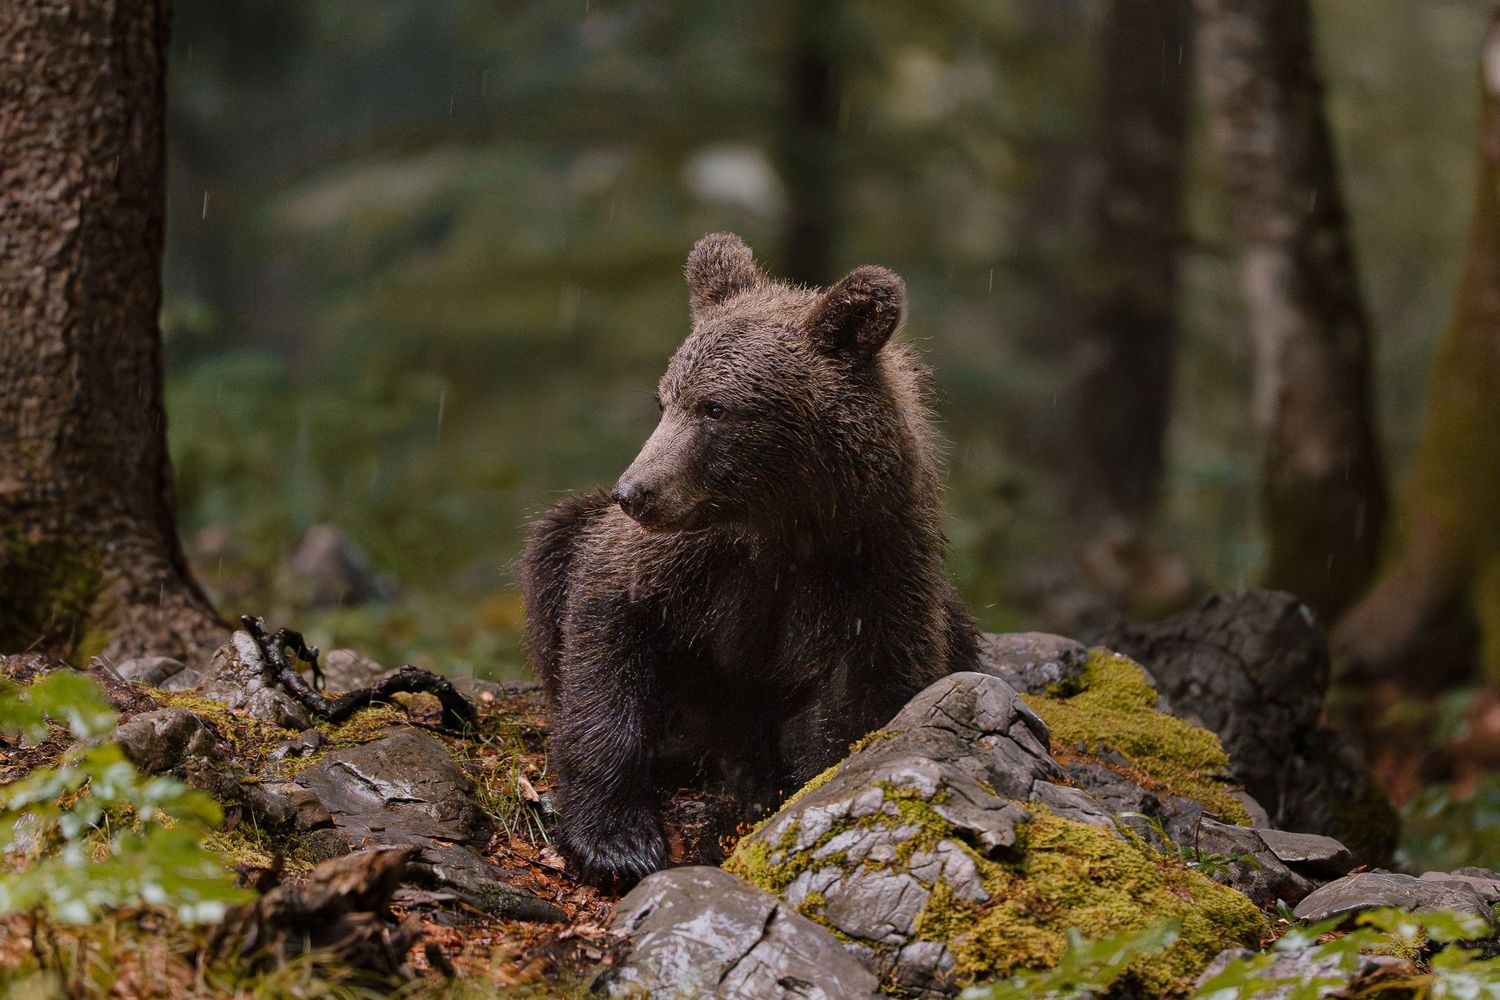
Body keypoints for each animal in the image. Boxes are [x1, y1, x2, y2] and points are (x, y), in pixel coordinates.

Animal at [520, 233, 980, 884]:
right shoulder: (679, 566)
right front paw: (616, 840)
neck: (780, 530)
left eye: (716, 408)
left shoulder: (871, 578)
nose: (634, 491)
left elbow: (858, 710)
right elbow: (605, 643)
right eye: (664, 400)